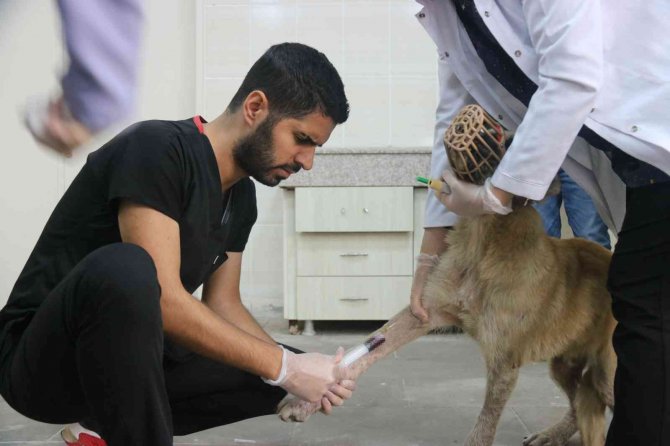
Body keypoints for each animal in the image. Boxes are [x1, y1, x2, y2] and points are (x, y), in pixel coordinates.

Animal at [278, 203, 620, 446]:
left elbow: (486, 422)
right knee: (579, 401)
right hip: (563, 366)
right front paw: (307, 395)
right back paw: (552, 434)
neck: (486, 236)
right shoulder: (425, 311)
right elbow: (372, 344)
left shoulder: (504, 362)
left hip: (607, 372)